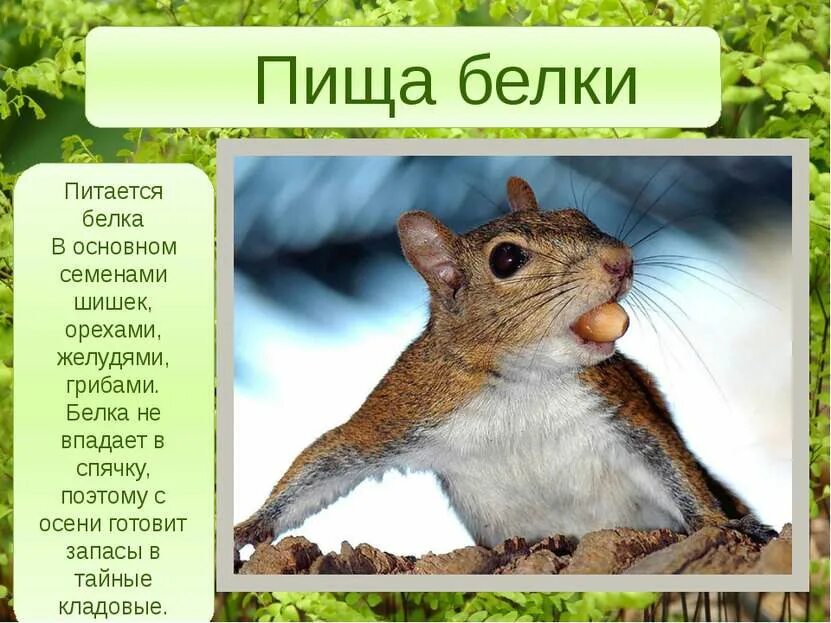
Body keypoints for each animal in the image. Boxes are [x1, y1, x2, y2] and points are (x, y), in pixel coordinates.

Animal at [234, 176, 776, 562]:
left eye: (580, 216)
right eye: (508, 258)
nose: (620, 260)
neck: (526, 382)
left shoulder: (621, 403)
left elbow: (671, 460)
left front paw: (722, 524)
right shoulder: (408, 402)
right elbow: (334, 455)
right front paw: (251, 526)